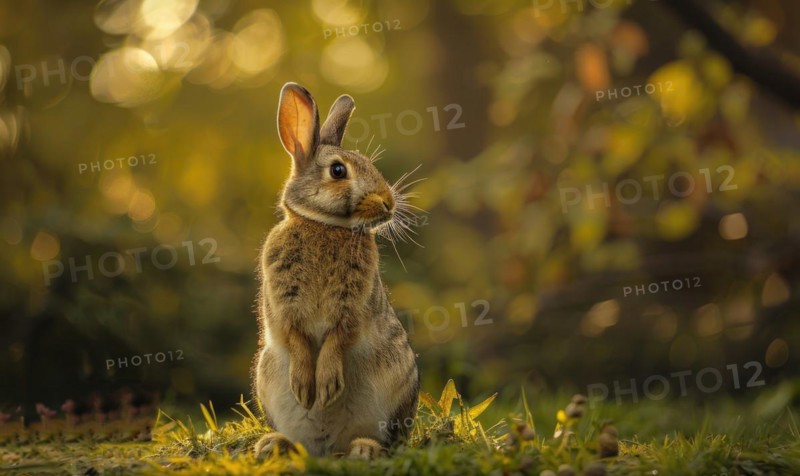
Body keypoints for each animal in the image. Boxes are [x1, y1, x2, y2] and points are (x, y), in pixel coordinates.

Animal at [252, 83, 419, 459]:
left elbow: (338, 338)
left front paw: (326, 386)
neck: (324, 226)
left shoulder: (351, 305)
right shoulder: (284, 302)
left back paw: (364, 450)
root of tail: (329, 446)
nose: (388, 203)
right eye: (338, 171)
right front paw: (305, 386)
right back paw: (274, 445)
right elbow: (294, 335)